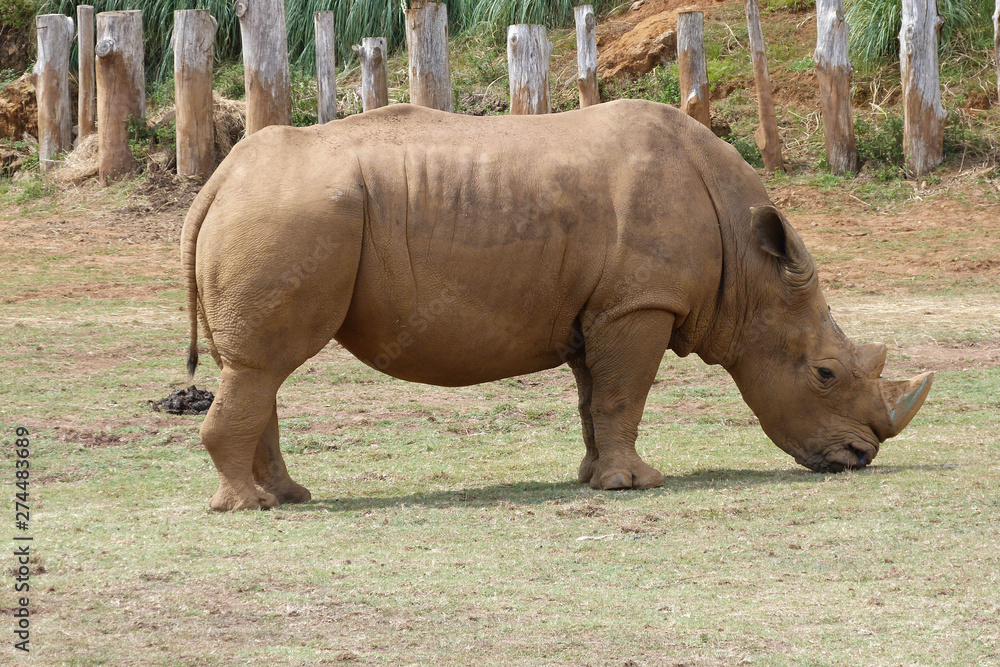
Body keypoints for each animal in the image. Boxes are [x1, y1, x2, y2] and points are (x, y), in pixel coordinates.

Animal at [181, 100, 932, 511]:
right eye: (825, 373)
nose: (860, 457)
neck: (751, 269)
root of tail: (219, 179)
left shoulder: (600, 308)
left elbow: (595, 398)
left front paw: (596, 477)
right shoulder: (639, 306)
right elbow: (625, 393)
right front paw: (638, 484)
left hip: (274, 211)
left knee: (256, 370)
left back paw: (288, 497)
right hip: (289, 214)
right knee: (262, 367)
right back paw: (250, 507)